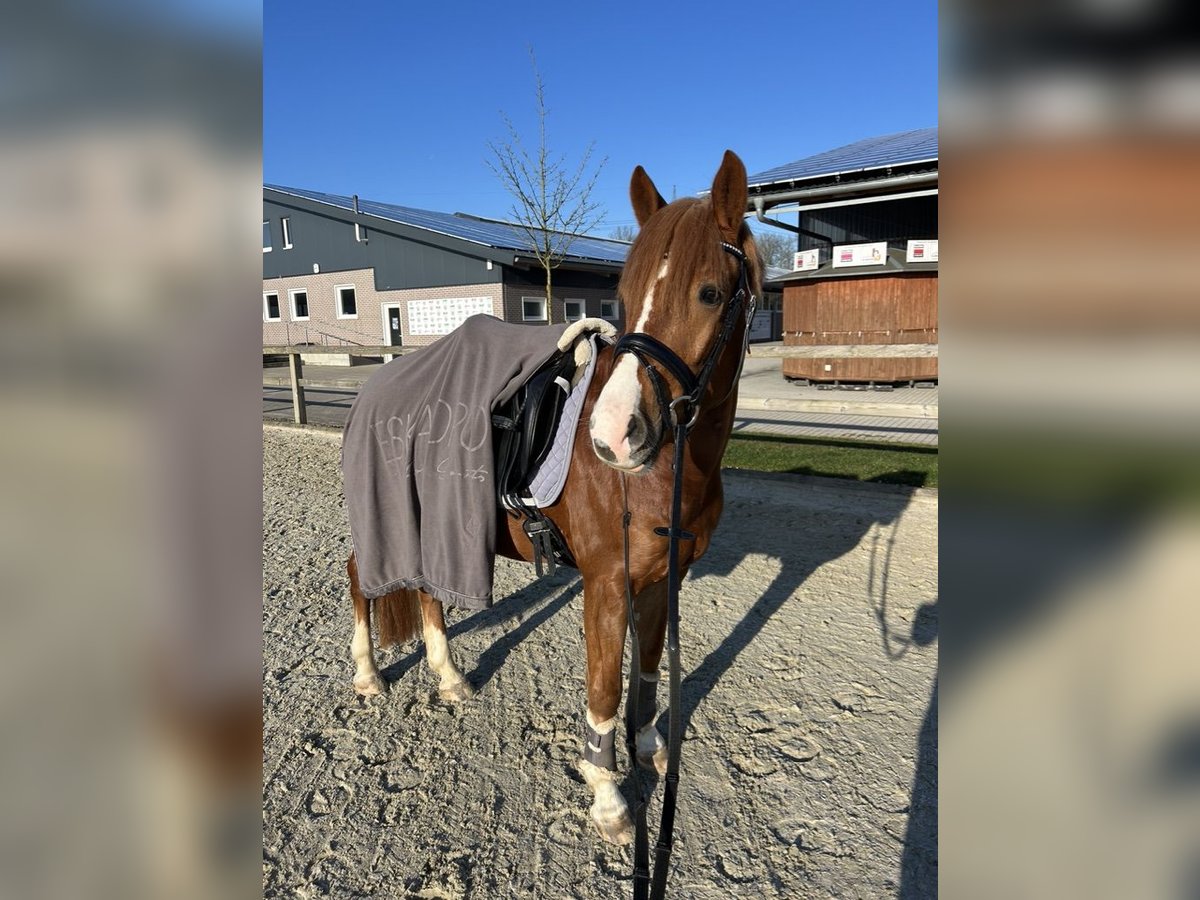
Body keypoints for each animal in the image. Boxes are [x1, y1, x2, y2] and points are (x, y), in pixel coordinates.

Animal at [345, 151, 758, 849]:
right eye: (625, 296)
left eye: (709, 292)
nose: (614, 435)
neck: (660, 474)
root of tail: (378, 383)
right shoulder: (608, 584)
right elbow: (604, 690)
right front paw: (609, 797)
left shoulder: (662, 581)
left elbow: (647, 672)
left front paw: (649, 747)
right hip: (382, 521)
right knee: (359, 577)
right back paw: (368, 674)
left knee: (428, 589)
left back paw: (449, 676)